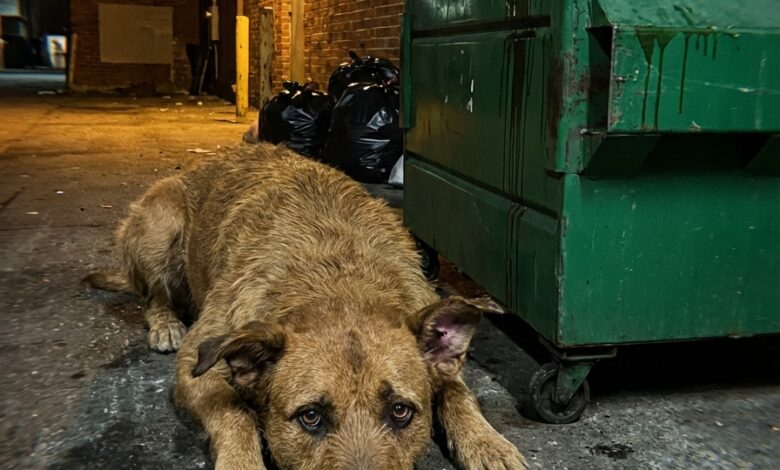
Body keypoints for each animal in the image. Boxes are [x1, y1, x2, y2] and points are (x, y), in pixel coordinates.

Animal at [84, 143, 527, 470]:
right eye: (310, 417)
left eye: (401, 411)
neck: (339, 283)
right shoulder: (198, 362)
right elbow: (234, 414)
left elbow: (457, 392)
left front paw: (488, 443)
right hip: (161, 221)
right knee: (153, 294)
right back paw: (164, 323)